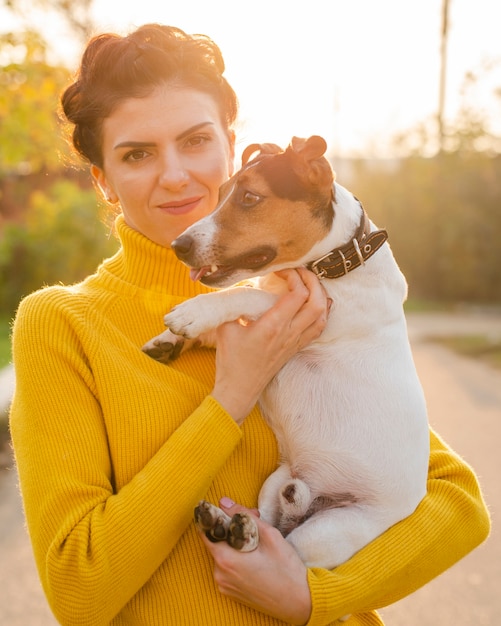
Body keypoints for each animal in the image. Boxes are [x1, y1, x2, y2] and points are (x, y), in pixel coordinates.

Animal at [142, 136, 430, 572]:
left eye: (249, 197)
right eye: (221, 194)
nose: (179, 245)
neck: (337, 261)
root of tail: (308, 500)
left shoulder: (319, 317)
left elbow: (245, 294)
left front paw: (192, 313)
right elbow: (233, 310)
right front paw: (170, 339)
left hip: (328, 533)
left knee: (285, 552)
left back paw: (240, 535)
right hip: (276, 482)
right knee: (269, 525)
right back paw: (228, 524)